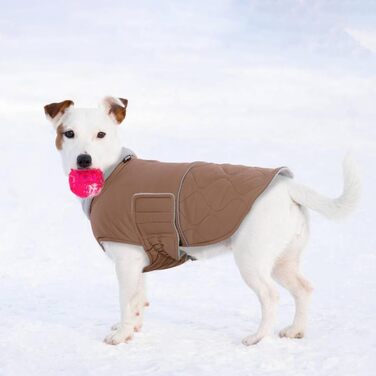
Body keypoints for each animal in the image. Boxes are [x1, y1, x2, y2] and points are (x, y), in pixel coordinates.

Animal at [43, 97, 362, 346]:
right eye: (68, 133)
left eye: (101, 134)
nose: (84, 160)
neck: (112, 172)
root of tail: (287, 187)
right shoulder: (137, 262)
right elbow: (138, 299)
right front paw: (134, 327)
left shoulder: (125, 261)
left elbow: (126, 300)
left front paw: (121, 335)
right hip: (283, 260)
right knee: (303, 289)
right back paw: (296, 330)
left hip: (252, 259)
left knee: (270, 297)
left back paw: (257, 337)